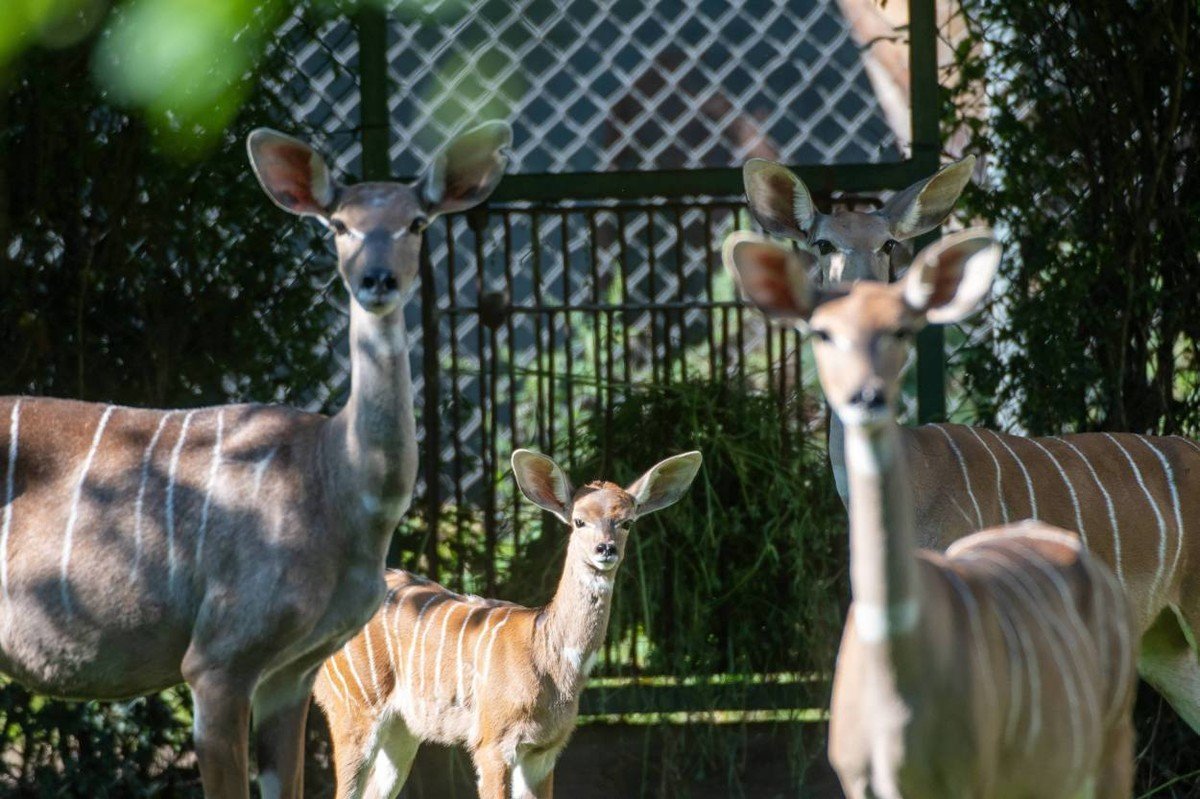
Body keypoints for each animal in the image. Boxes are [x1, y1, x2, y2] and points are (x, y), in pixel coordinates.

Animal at [0, 119, 511, 796]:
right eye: (339, 224)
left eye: (417, 222)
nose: (377, 279)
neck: (334, 484)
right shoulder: (218, 660)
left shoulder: (291, 673)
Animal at [314, 448, 700, 796]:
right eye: (579, 521)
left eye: (627, 522)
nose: (606, 549)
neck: (550, 657)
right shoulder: (491, 743)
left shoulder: (544, 750)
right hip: (354, 709)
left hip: (402, 730)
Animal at [720, 225, 1132, 796]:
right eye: (822, 333)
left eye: (900, 330)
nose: (866, 395)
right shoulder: (857, 777)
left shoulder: (969, 776)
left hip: (1108, 743)